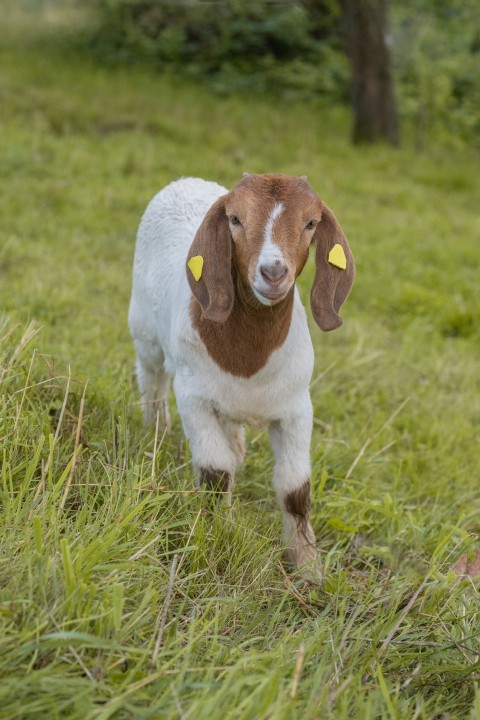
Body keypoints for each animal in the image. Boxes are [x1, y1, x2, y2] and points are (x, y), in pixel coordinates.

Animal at [129, 174, 354, 568]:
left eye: (311, 223)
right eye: (235, 219)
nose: (273, 272)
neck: (249, 360)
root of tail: (185, 180)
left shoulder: (297, 408)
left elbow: (295, 488)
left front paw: (307, 565)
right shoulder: (194, 400)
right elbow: (216, 474)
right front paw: (219, 534)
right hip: (144, 329)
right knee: (152, 379)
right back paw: (155, 429)